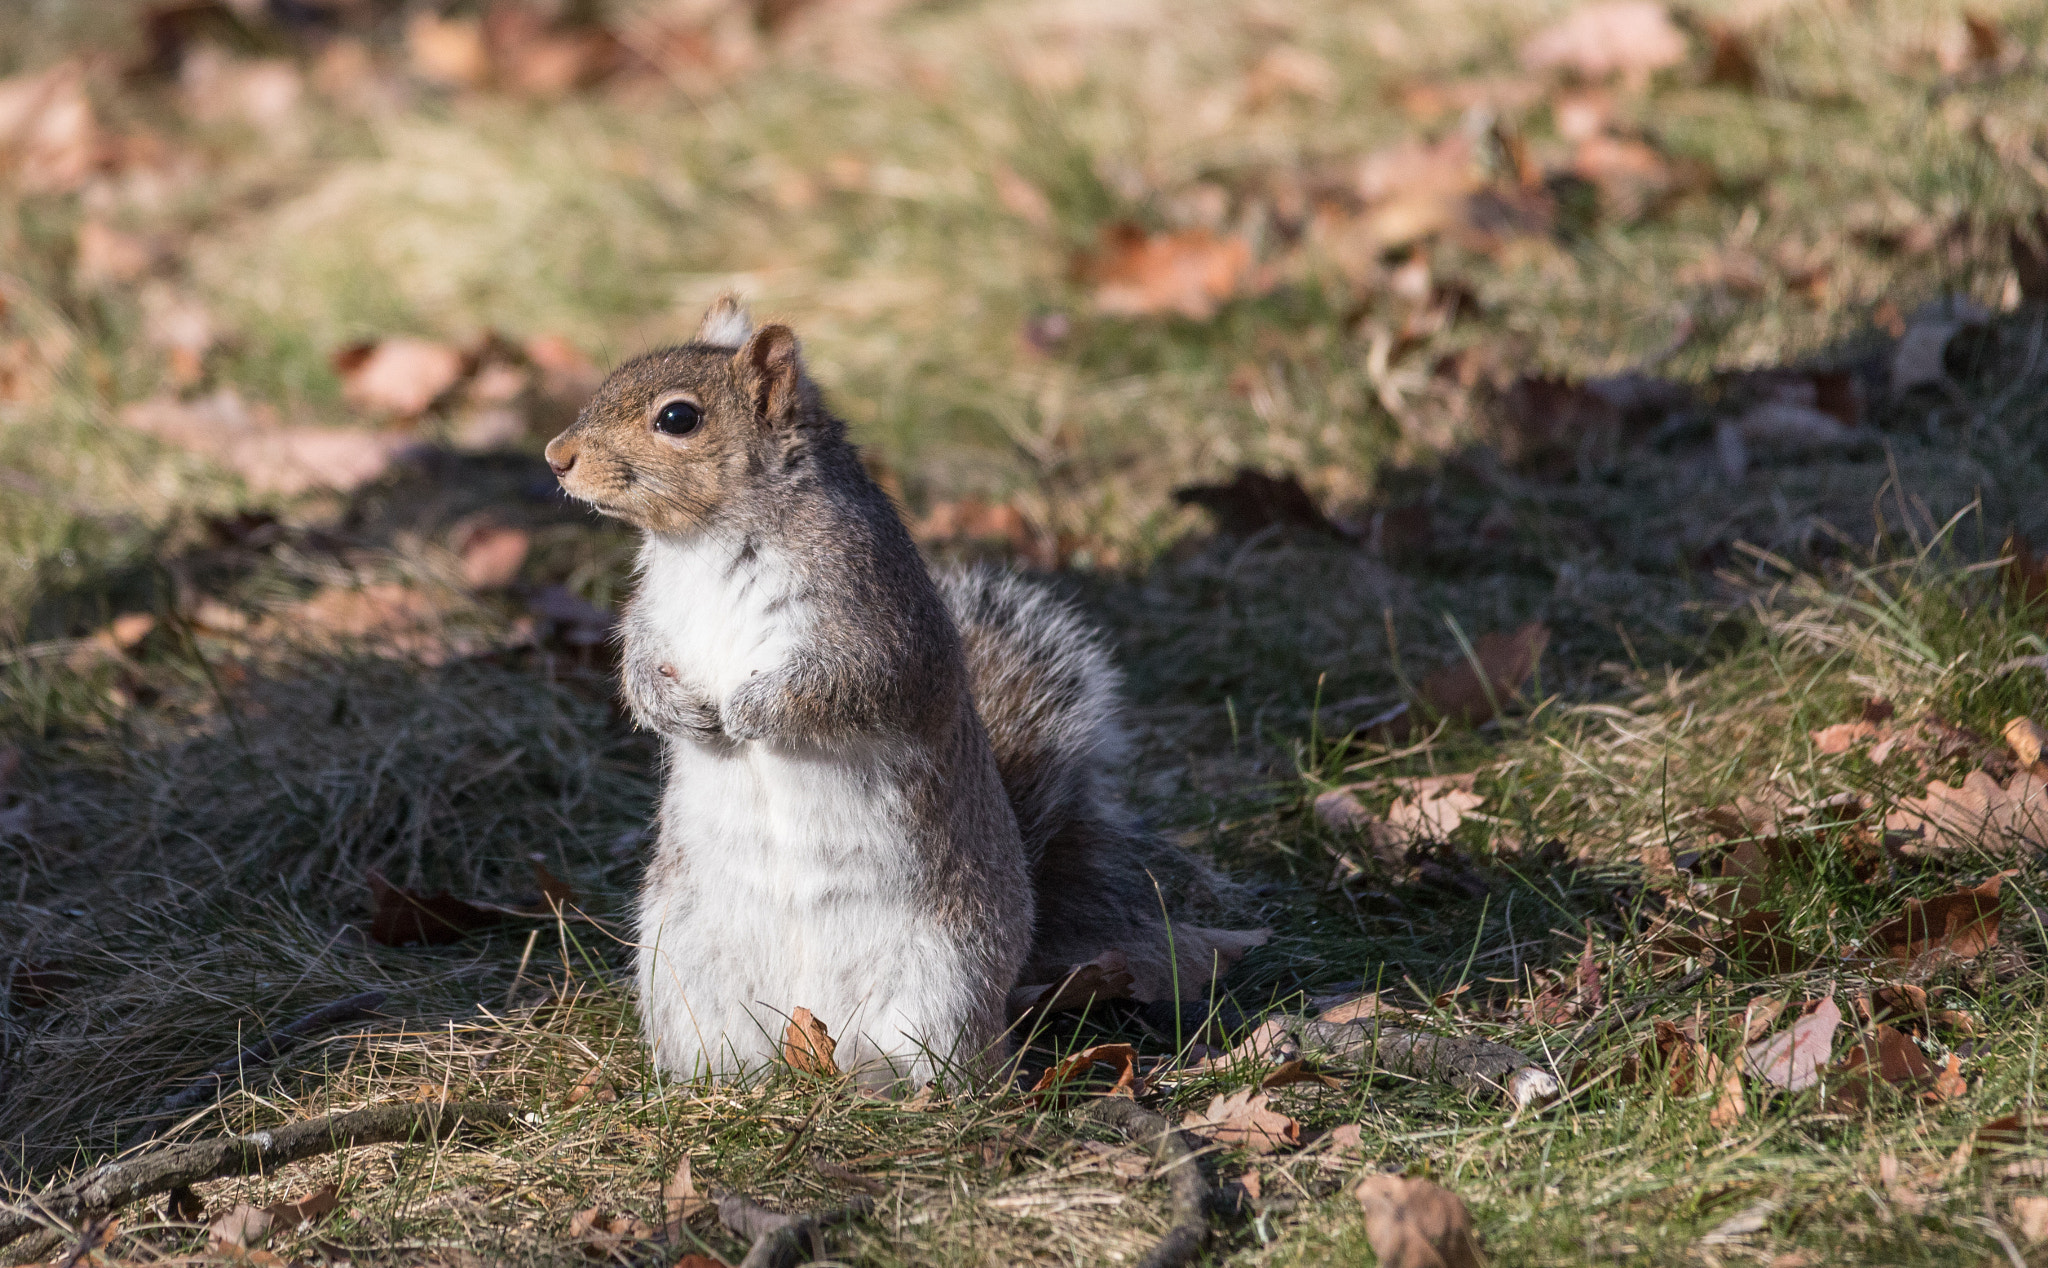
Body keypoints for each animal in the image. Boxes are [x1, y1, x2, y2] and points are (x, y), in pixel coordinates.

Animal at [540, 297, 1245, 1089]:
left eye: (678, 418)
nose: (556, 456)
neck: (705, 544)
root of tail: (823, 1051)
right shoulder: (652, 617)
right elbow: (637, 668)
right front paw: (679, 712)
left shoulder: (878, 624)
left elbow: (846, 686)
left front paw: (749, 711)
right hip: (685, 967)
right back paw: (714, 1089)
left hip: (944, 979)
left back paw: (929, 1095)